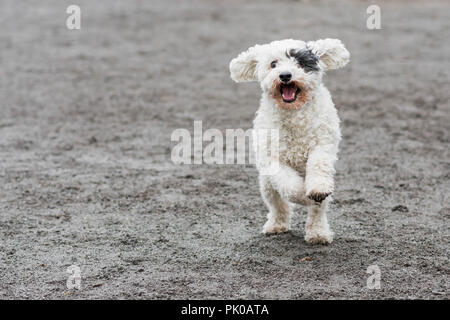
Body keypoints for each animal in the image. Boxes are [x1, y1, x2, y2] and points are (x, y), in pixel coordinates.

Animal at [230, 38, 350, 244]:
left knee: (318, 210)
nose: (285, 75)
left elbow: (318, 167)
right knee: (278, 205)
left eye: (300, 62)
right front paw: (302, 196)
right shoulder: (272, 160)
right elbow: (289, 185)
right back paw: (277, 225)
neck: (294, 113)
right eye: (273, 64)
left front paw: (316, 190)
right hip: (267, 185)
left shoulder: (322, 145)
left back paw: (318, 233)